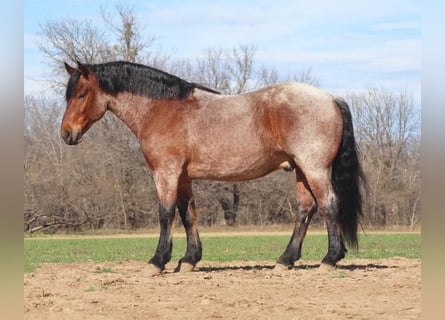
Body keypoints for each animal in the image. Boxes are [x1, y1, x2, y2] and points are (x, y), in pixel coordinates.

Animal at [59, 60, 364, 276]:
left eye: (82, 94)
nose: (66, 134)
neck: (163, 110)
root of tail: (331, 98)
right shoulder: (183, 177)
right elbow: (188, 215)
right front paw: (188, 260)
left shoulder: (166, 173)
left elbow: (165, 214)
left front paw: (157, 261)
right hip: (301, 170)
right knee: (305, 210)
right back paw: (285, 260)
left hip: (314, 168)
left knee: (328, 205)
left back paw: (329, 259)